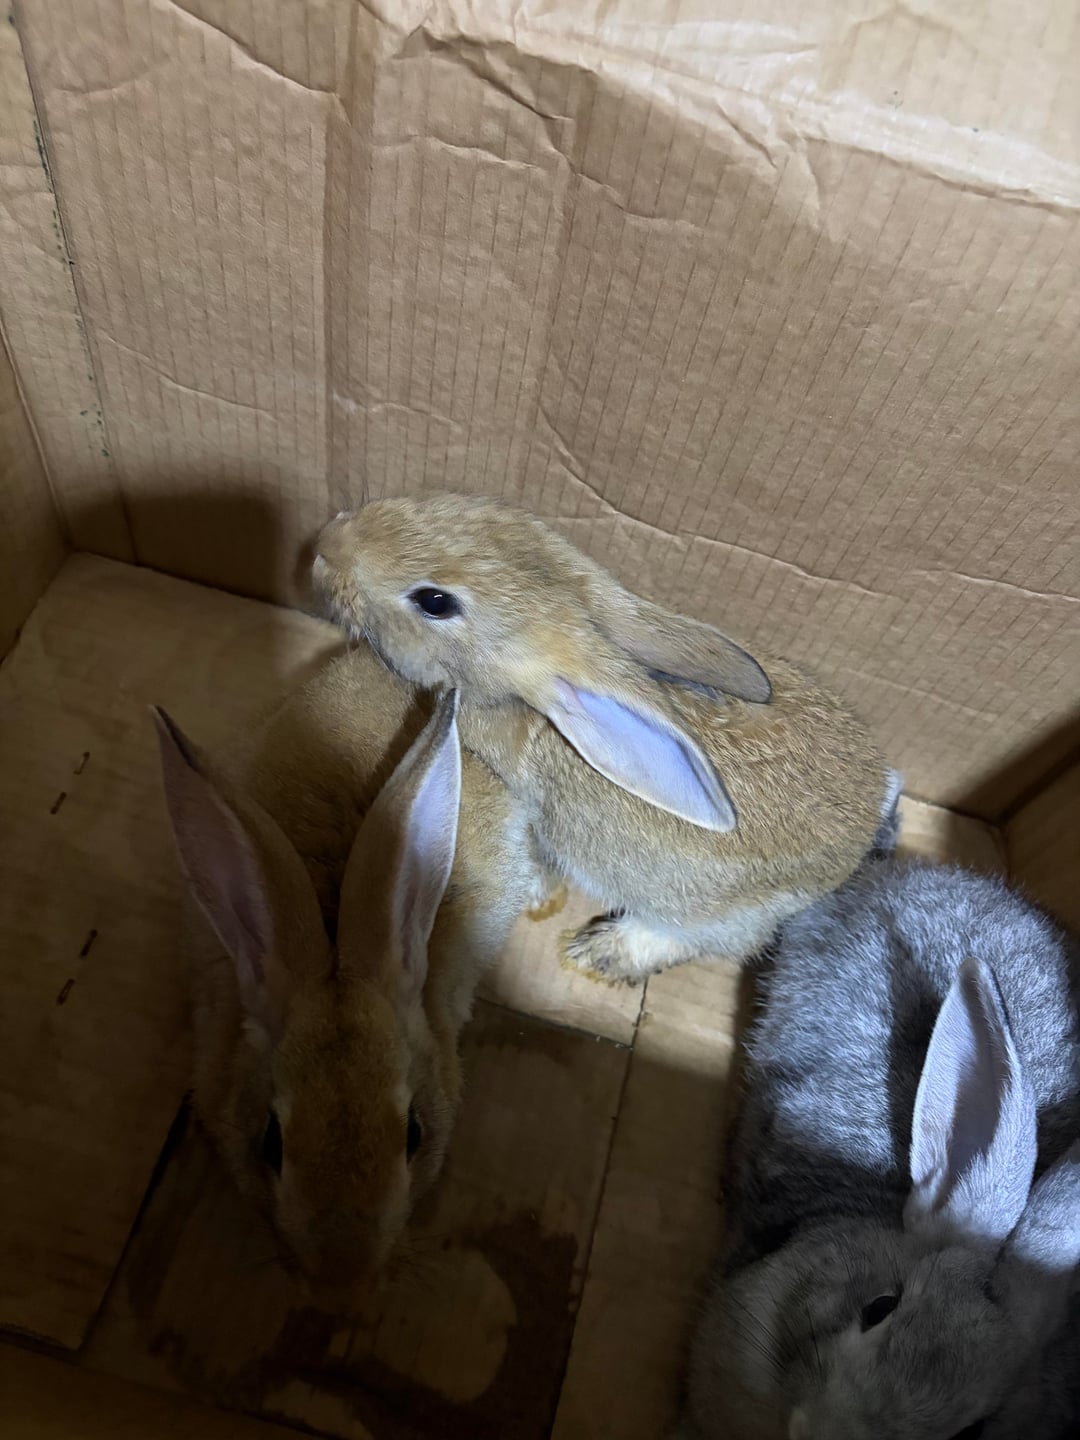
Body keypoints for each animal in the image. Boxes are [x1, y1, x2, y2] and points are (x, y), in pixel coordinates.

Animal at [311, 492, 900, 984]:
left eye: (434, 601)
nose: (324, 546)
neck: (517, 705)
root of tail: (860, 843)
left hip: (710, 915)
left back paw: (598, 951)